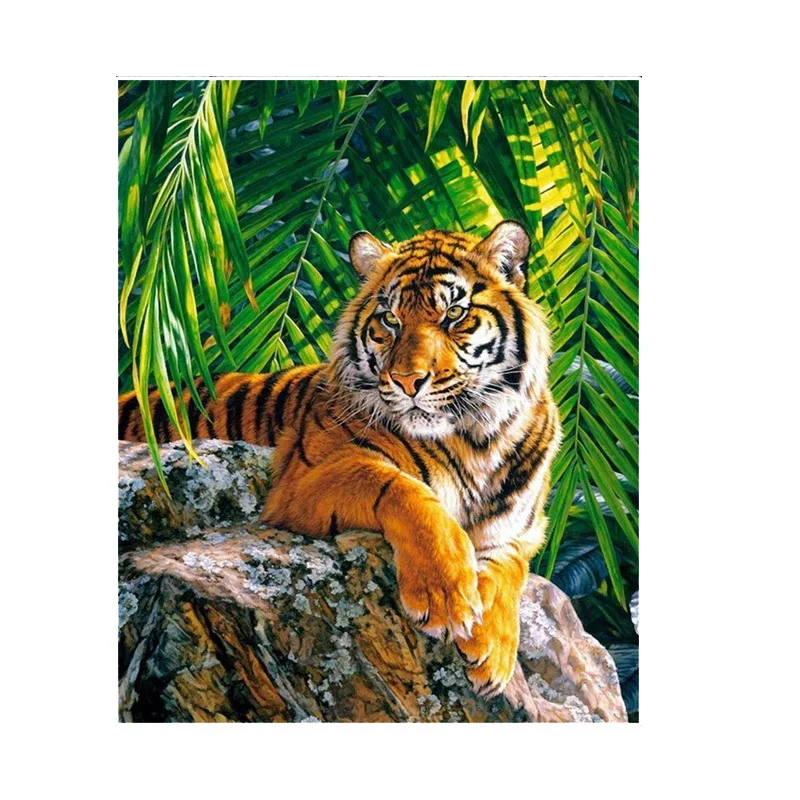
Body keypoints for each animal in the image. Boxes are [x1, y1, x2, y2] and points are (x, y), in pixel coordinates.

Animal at [118, 220, 562, 698]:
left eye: (454, 315)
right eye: (391, 319)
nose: (407, 381)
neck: (477, 437)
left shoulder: (523, 530)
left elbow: (507, 568)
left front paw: (493, 651)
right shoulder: (303, 479)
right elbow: (407, 492)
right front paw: (445, 596)